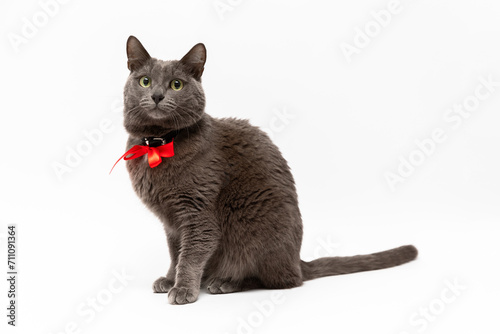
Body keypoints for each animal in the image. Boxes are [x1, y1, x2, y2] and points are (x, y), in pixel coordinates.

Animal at [119, 36, 416, 306]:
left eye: (176, 84)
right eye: (145, 81)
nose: (157, 95)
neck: (159, 143)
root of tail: (297, 261)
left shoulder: (198, 213)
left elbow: (190, 255)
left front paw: (183, 288)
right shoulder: (171, 222)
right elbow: (175, 253)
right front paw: (170, 279)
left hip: (252, 228)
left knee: (278, 279)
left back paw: (225, 282)